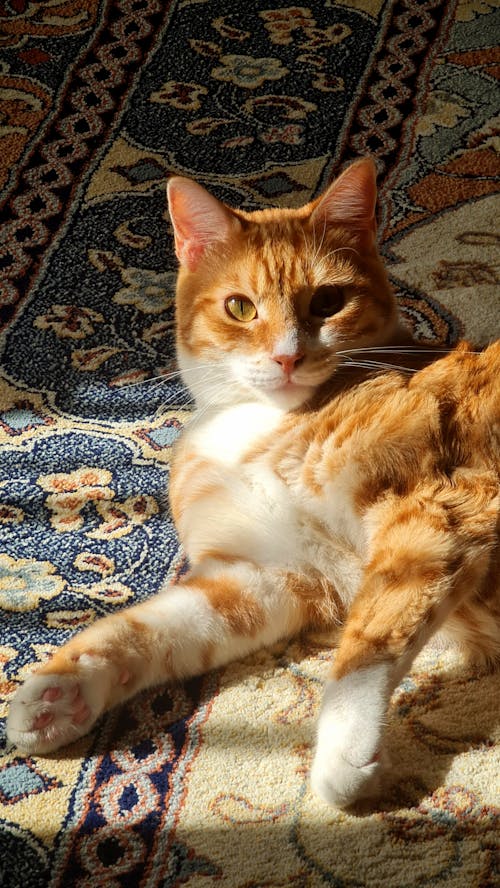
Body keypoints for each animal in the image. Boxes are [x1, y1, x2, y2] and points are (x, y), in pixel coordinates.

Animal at [5, 156, 498, 808]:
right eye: (240, 308)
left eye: (328, 301)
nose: (288, 358)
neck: (254, 423)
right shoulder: (263, 578)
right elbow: (148, 628)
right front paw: (64, 686)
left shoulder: (434, 513)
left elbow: (371, 639)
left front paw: (343, 750)